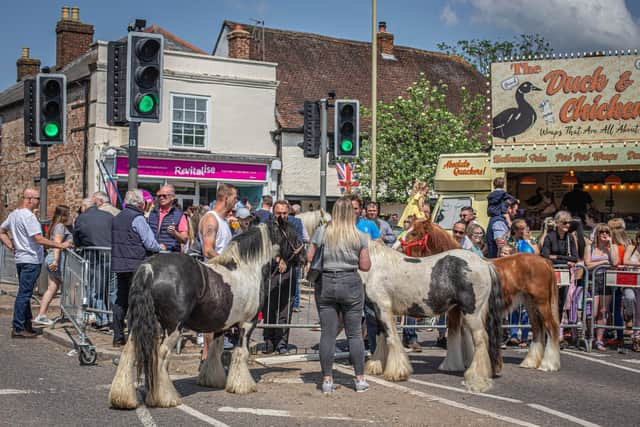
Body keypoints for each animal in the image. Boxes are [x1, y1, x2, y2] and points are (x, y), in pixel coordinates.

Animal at [109, 224, 278, 408]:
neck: (246, 270)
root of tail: (149, 268)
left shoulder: (221, 326)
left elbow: (214, 351)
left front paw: (212, 379)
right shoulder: (247, 324)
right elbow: (241, 353)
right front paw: (243, 386)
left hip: (139, 325)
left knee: (128, 352)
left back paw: (123, 398)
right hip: (173, 328)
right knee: (161, 355)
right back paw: (165, 398)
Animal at [360, 244, 504, 394]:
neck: (373, 265)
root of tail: (485, 263)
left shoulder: (383, 308)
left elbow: (391, 339)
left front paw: (397, 372)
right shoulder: (381, 311)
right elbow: (383, 337)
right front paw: (376, 365)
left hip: (472, 314)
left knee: (481, 339)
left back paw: (476, 379)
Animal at [402, 219, 564, 372]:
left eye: (414, 233)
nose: (400, 247)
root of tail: (544, 261)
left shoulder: (455, 310)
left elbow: (454, 334)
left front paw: (450, 365)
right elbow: (466, 335)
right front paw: (470, 361)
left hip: (541, 302)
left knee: (552, 327)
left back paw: (548, 364)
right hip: (530, 303)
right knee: (537, 328)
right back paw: (530, 362)